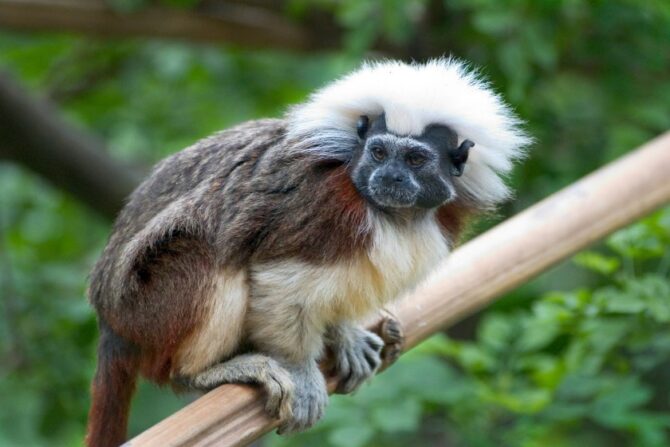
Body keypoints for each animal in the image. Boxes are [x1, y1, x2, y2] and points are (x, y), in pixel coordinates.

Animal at [84, 57, 532, 446]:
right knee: (205, 251)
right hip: (147, 310)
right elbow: (279, 278)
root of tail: (111, 324)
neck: (391, 214)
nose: (389, 176)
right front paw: (299, 369)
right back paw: (200, 372)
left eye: (416, 159)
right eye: (379, 153)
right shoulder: (321, 209)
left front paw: (344, 332)